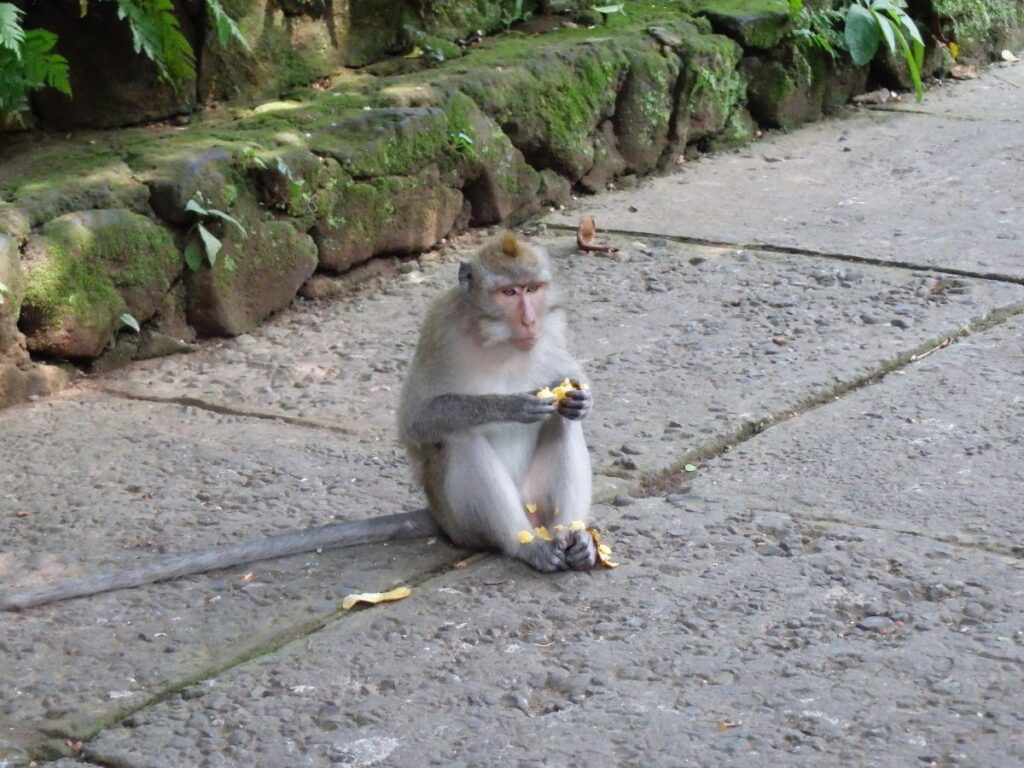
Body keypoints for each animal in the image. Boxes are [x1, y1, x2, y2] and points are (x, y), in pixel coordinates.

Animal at [0, 232, 595, 611]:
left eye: (534, 289)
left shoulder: (556, 329)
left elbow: (570, 389)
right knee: (460, 441)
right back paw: (523, 545)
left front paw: (578, 397)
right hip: (462, 518)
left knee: (563, 429)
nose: (529, 320)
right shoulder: (440, 327)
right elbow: (420, 422)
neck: (498, 338)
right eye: (507, 292)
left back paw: (575, 538)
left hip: (535, 500)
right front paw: (509, 405)